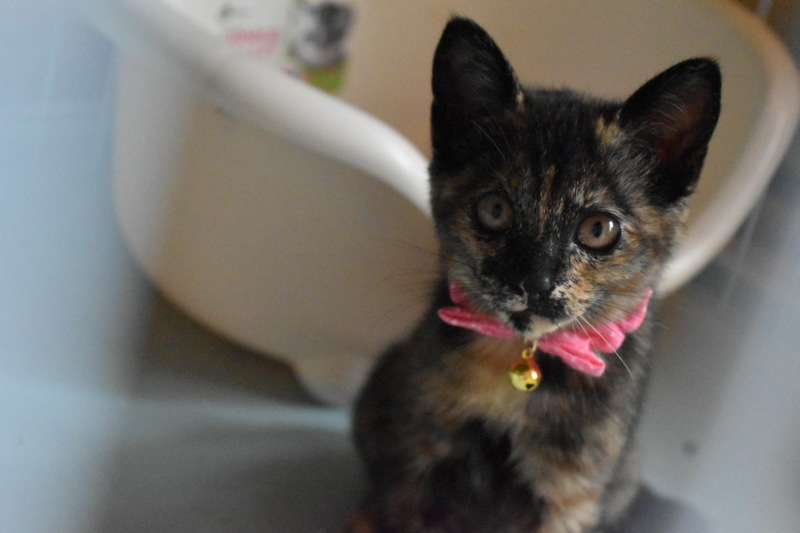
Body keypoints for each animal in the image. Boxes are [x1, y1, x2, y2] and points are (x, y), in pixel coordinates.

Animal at [349, 17, 720, 533]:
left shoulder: (571, 495)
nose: (536, 282)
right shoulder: (415, 457)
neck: (520, 361)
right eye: (494, 210)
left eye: (598, 229)